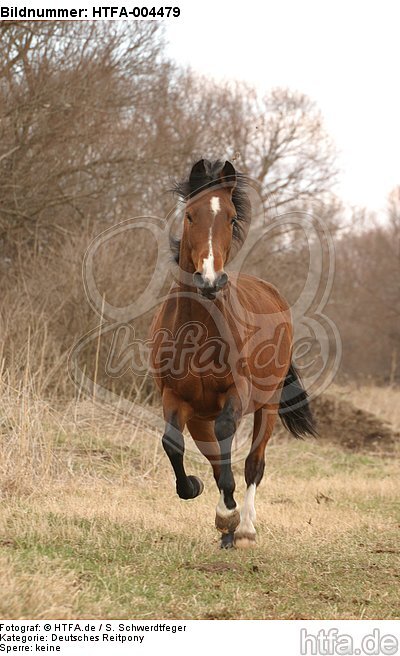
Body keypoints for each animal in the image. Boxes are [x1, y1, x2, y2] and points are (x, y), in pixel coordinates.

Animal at [149, 159, 316, 548]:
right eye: (190, 215)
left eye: (229, 217)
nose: (210, 280)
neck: (196, 328)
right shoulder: (175, 398)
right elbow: (174, 445)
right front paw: (193, 488)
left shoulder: (235, 394)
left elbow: (228, 439)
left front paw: (229, 516)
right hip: (199, 415)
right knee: (215, 458)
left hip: (268, 405)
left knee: (255, 463)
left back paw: (245, 528)